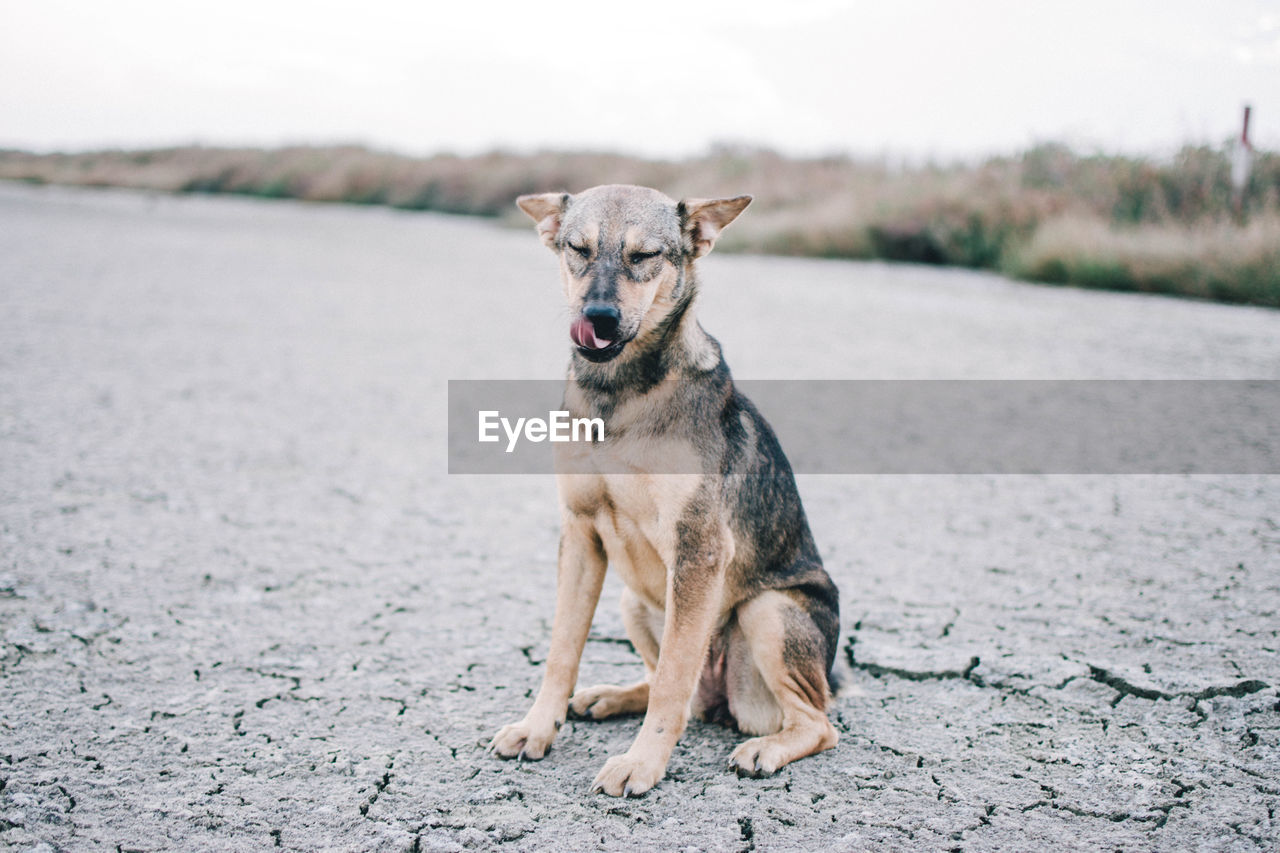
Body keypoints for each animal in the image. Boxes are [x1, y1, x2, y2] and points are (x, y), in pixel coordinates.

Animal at [488, 183, 839, 794]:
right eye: (578, 248)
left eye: (644, 255)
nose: (598, 317)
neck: (618, 395)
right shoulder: (581, 535)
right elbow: (561, 652)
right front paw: (537, 728)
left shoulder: (698, 547)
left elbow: (676, 676)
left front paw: (642, 763)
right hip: (635, 600)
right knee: (674, 689)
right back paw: (611, 696)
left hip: (768, 612)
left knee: (815, 722)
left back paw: (766, 749)